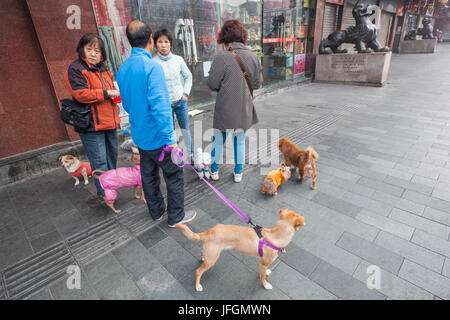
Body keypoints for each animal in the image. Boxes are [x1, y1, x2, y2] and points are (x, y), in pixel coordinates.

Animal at [176, 209, 306, 292]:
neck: (275, 236)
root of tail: (210, 231)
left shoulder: (263, 263)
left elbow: (263, 273)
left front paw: (267, 273)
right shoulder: (262, 263)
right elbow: (262, 277)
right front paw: (265, 285)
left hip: (211, 254)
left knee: (202, 253)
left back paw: (202, 258)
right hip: (212, 259)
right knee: (198, 271)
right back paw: (197, 286)